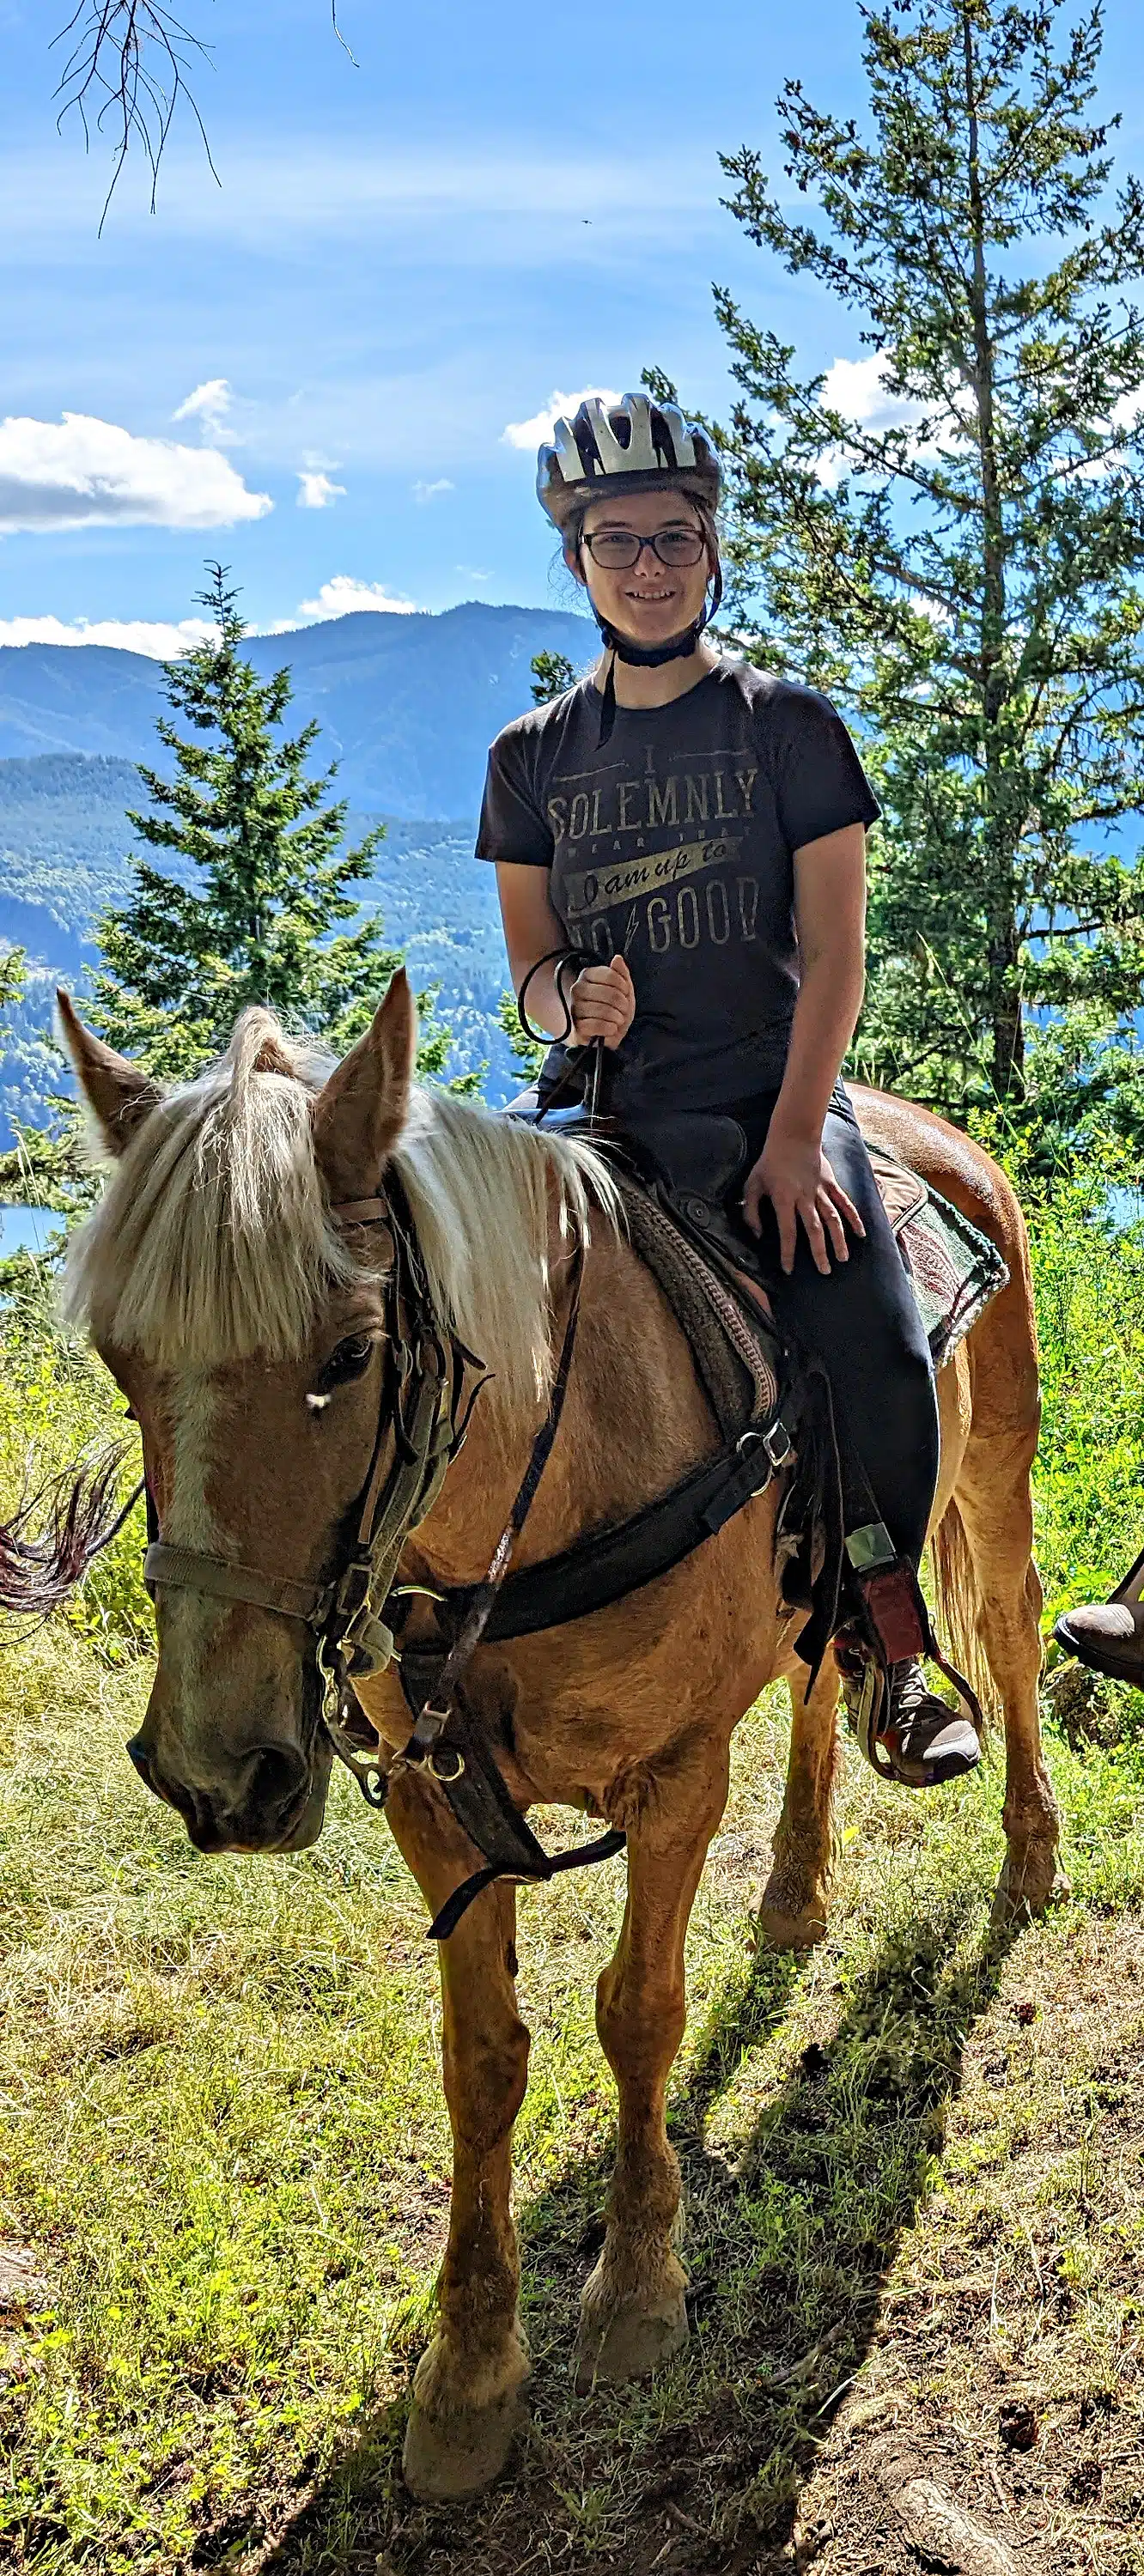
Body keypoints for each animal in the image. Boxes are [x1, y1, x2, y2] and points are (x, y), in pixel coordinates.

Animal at [24, 979, 1062, 2494]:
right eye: (122, 1363)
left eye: (350, 1354)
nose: (219, 1772)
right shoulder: (432, 1801)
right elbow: (482, 2061)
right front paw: (467, 2376)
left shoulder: (676, 1780)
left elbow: (638, 2015)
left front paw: (635, 2294)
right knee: (822, 1676)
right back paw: (796, 1892)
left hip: (995, 1470)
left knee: (1013, 1632)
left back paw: (1031, 1857)